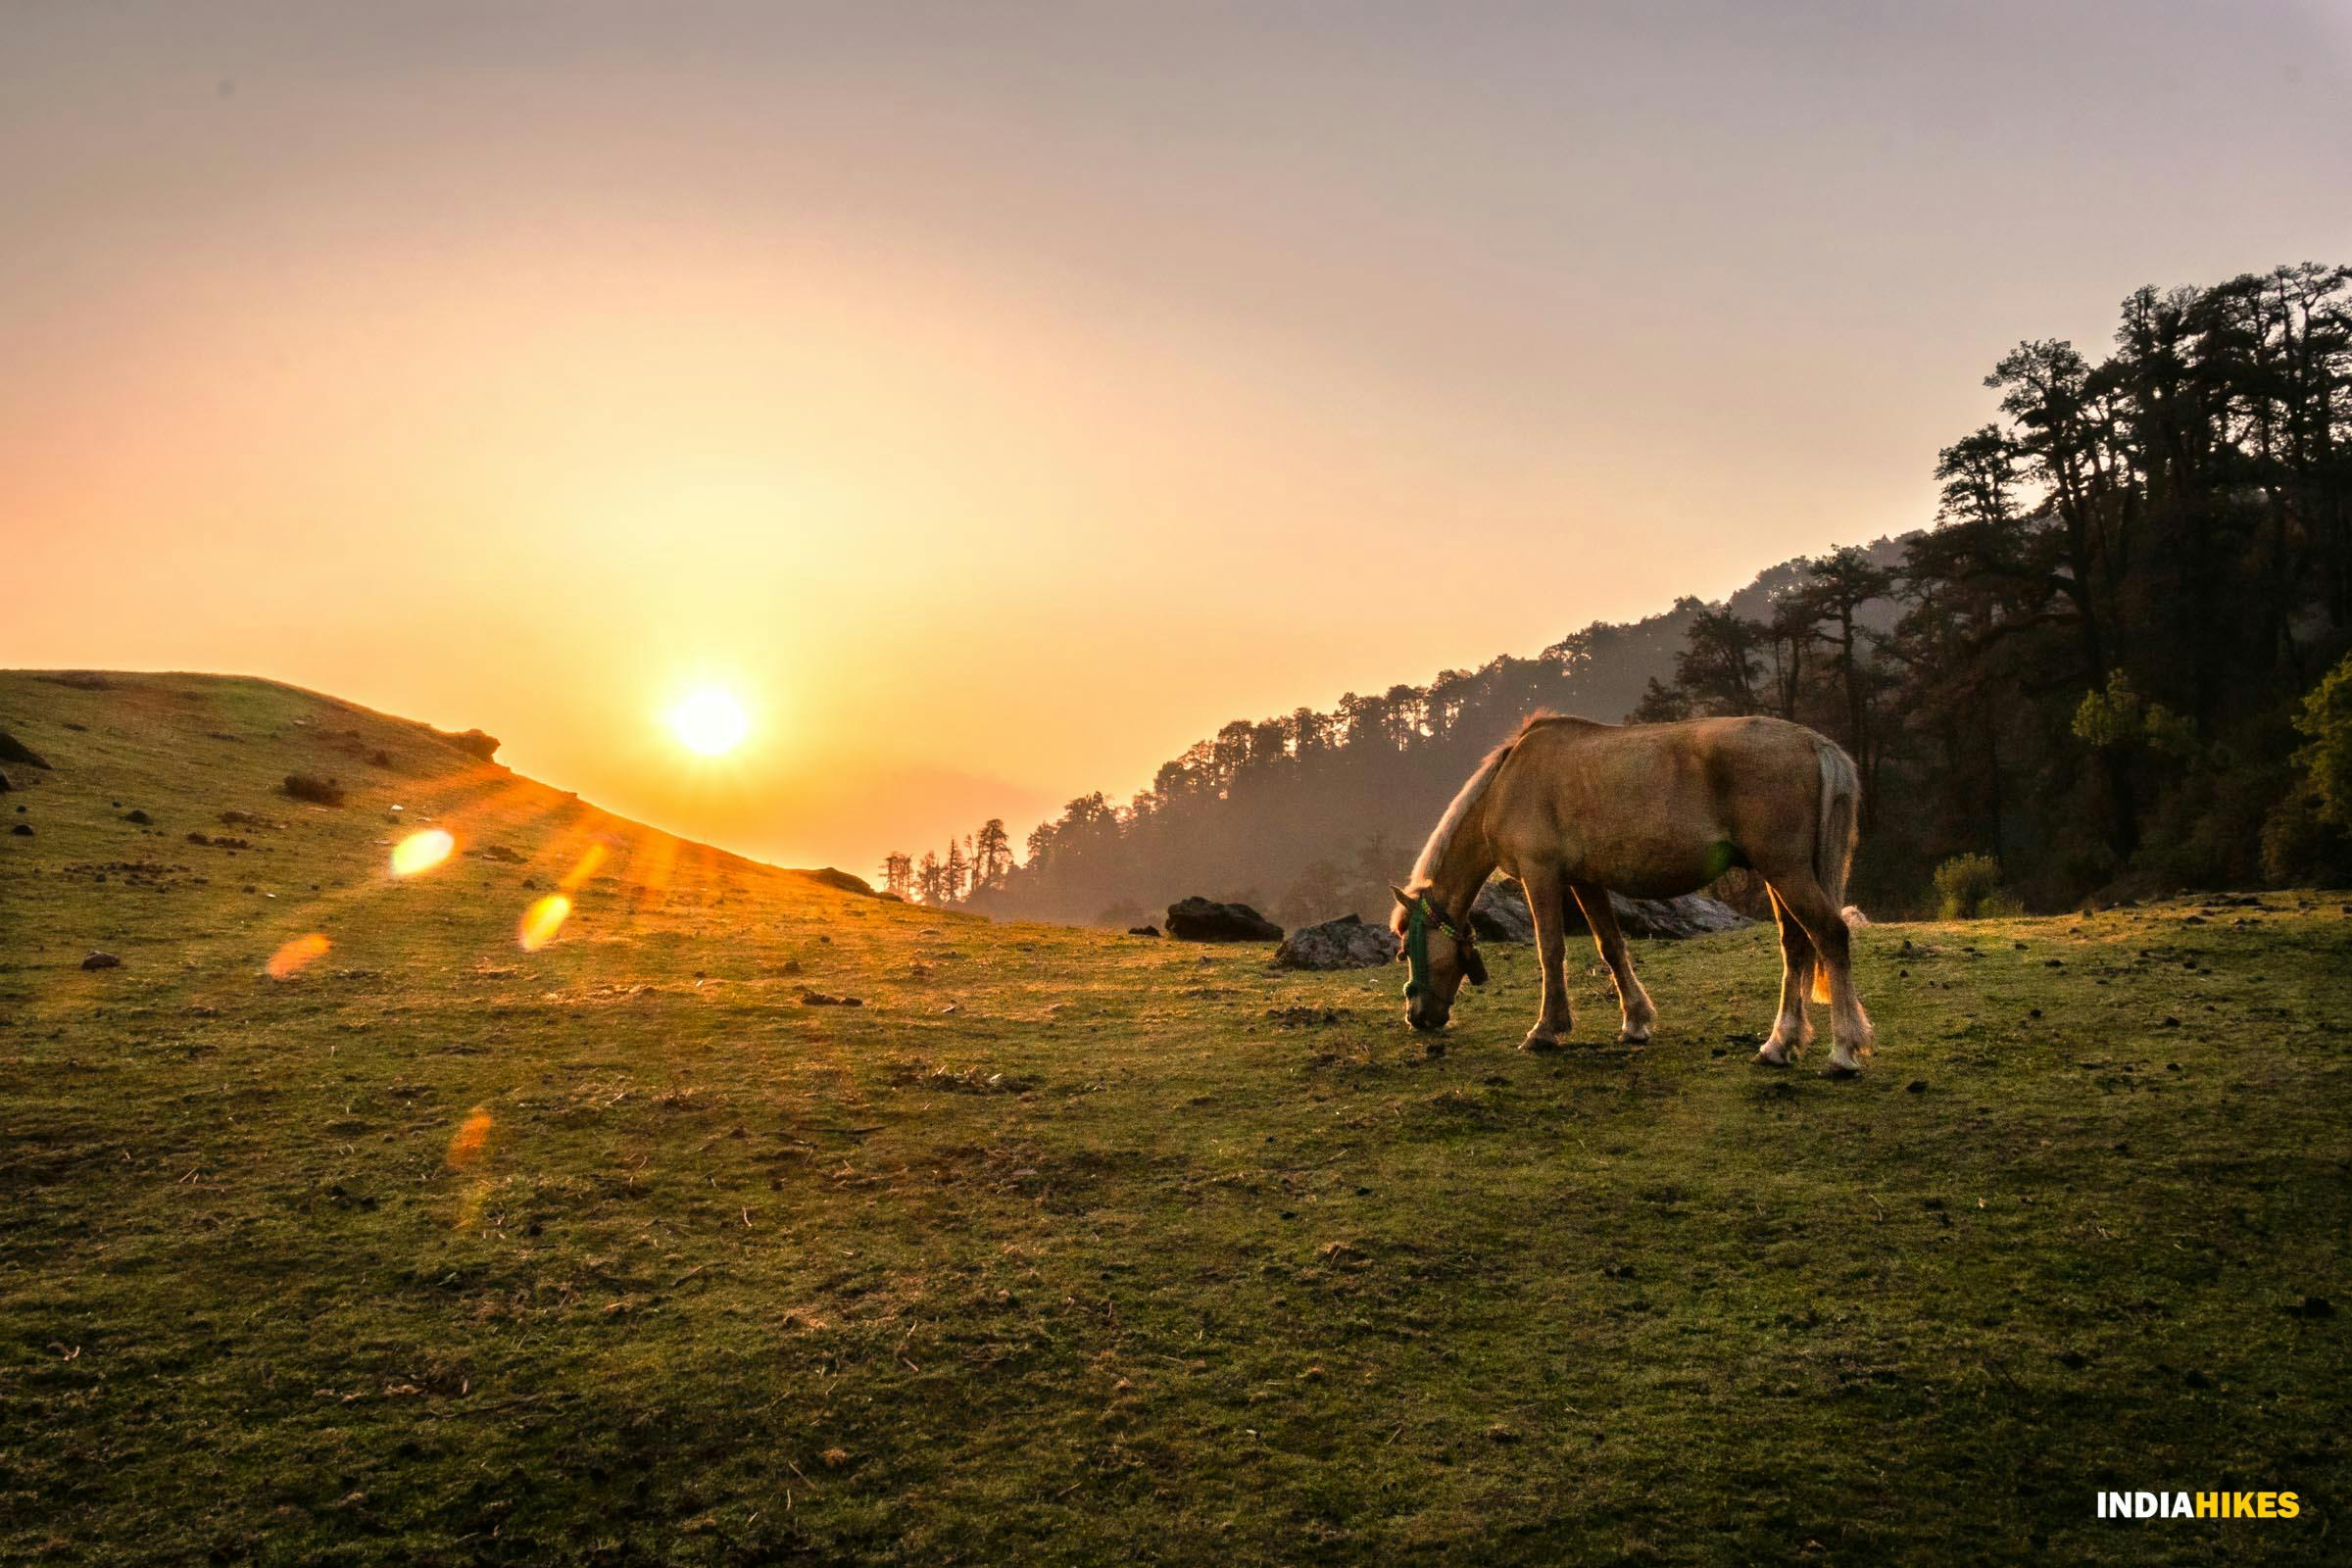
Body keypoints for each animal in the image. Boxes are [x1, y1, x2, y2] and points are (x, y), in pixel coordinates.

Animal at [1373, 719, 1872, 1071]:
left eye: (1405, 950)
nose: (1416, 1015)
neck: (1507, 784)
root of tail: (1813, 743)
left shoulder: (1541, 875)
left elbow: (1550, 951)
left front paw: (1546, 1030)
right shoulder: (1585, 881)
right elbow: (1610, 946)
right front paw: (1635, 1021)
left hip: (1784, 870)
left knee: (1830, 935)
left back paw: (1844, 1049)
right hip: (1778, 875)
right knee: (1796, 946)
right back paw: (1779, 1044)